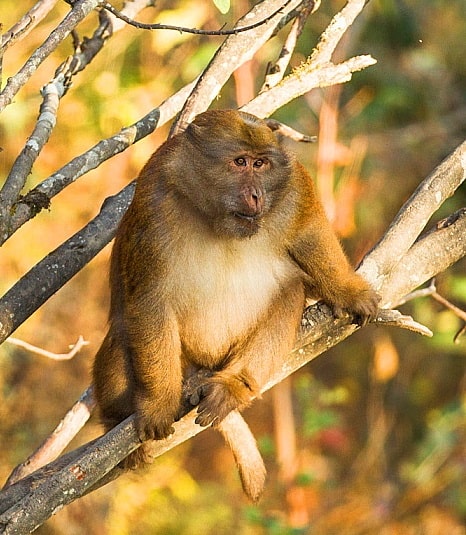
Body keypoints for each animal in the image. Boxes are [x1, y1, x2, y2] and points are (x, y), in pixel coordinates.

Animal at [93, 109, 380, 502]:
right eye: (240, 162)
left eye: (261, 164)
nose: (256, 195)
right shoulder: (154, 200)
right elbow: (151, 300)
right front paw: (158, 402)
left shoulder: (294, 187)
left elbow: (309, 235)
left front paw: (346, 290)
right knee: (124, 331)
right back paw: (118, 421)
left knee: (290, 289)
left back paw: (234, 385)